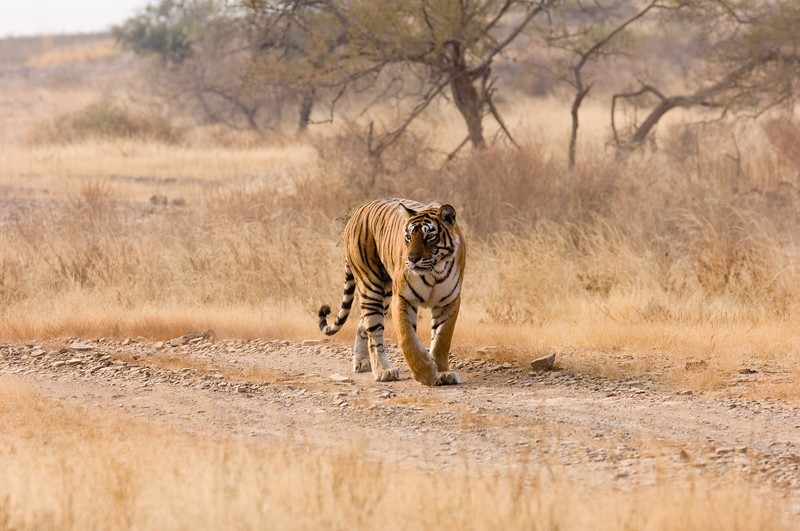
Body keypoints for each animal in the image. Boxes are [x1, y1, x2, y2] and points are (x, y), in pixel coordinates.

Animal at [318, 200, 466, 386]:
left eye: (429, 237)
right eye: (408, 237)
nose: (412, 259)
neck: (434, 272)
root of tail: (358, 211)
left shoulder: (449, 301)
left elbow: (441, 339)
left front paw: (443, 373)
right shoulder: (403, 298)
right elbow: (408, 338)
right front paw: (425, 373)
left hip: (385, 295)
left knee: (363, 323)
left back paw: (361, 362)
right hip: (371, 287)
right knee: (374, 333)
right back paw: (383, 370)